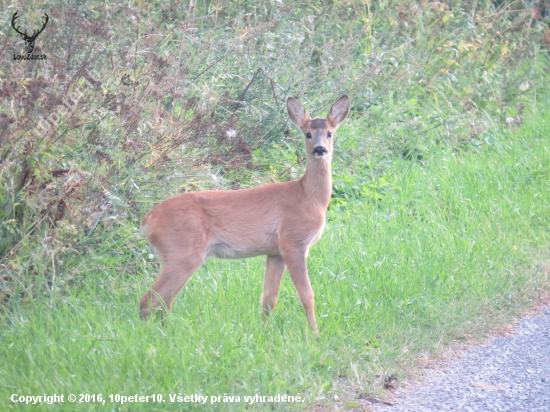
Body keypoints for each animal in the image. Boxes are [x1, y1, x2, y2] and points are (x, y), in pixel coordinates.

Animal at [140, 94, 352, 332]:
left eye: (330, 133)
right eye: (307, 133)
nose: (320, 149)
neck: (310, 197)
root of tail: (147, 221)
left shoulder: (275, 252)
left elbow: (269, 299)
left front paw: (265, 331)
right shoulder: (293, 242)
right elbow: (307, 295)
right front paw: (314, 333)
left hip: (175, 255)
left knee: (165, 301)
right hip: (182, 251)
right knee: (149, 300)